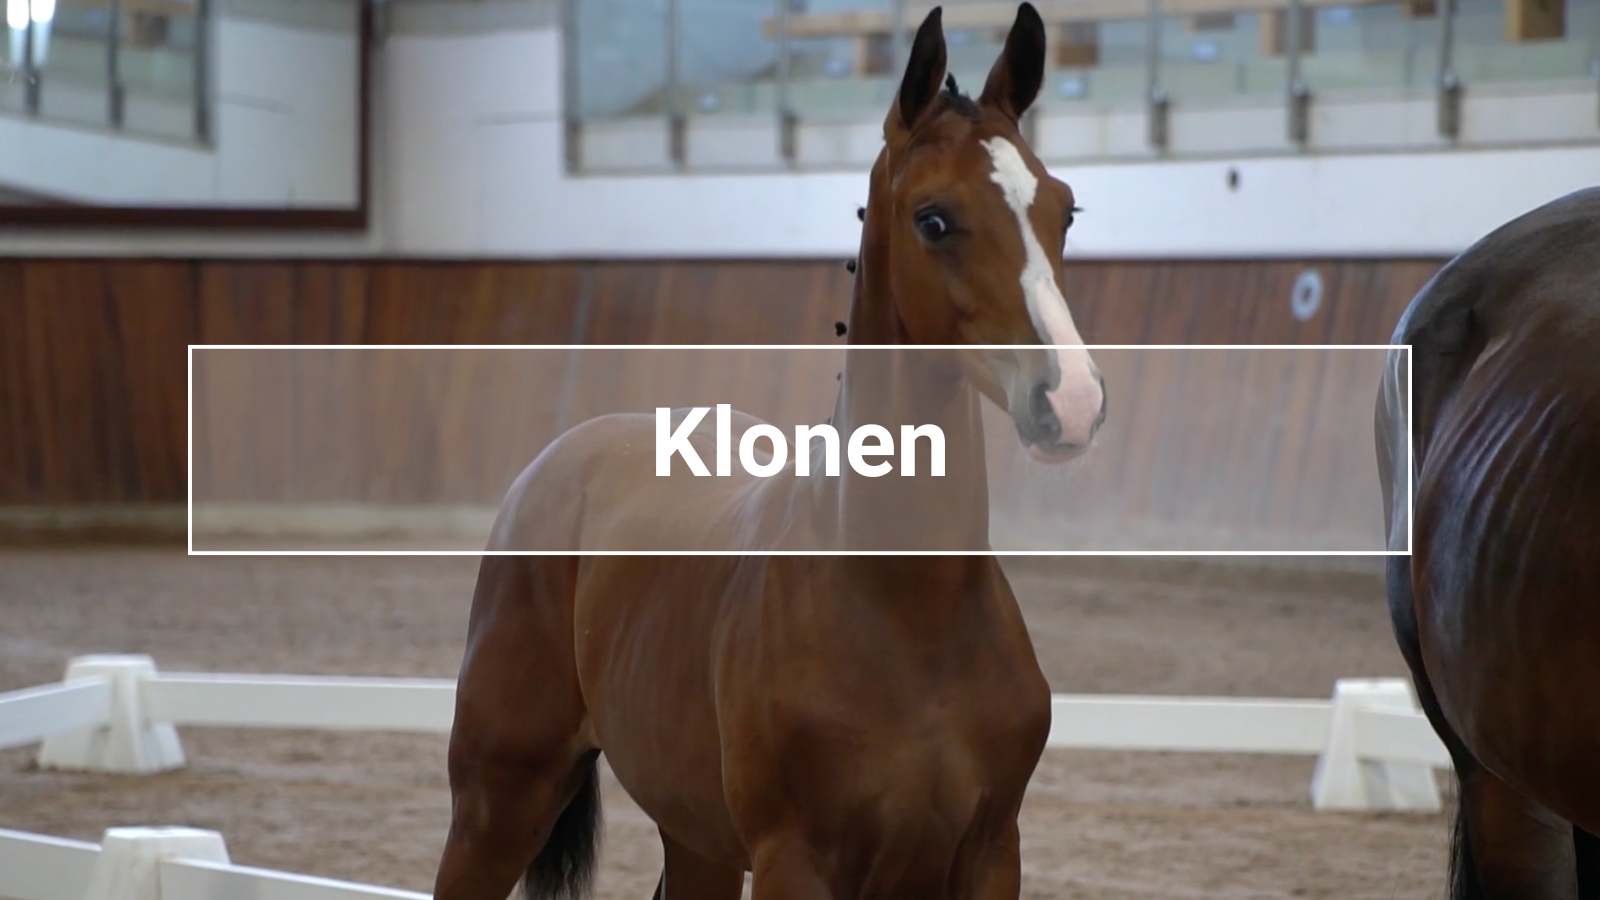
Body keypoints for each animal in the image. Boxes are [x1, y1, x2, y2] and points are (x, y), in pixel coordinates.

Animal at [431, 6, 1108, 900]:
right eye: (933, 218)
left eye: (1064, 211)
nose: (1073, 400)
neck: (905, 604)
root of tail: (559, 462)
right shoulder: (796, 861)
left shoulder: (991, 854)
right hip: (498, 802)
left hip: (697, 840)